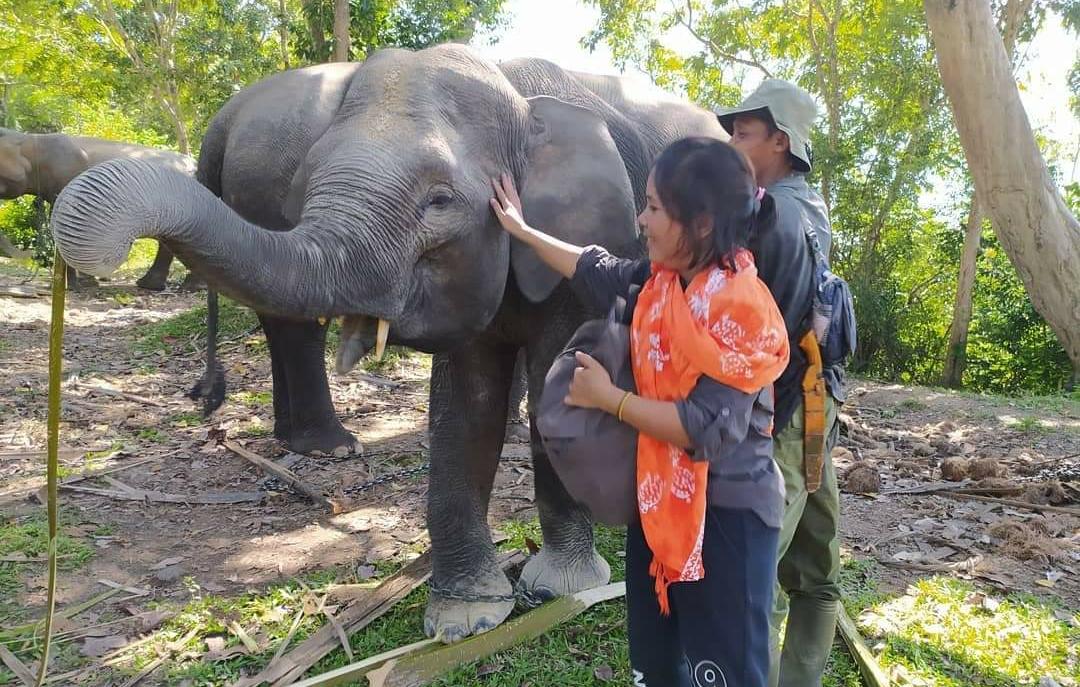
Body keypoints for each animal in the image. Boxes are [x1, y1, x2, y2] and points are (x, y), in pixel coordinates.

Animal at [48, 45, 725, 639]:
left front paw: (562, 588)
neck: (516, 94)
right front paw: (467, 617)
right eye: (306, 183)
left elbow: (558, 381)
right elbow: (466, 407)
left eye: (440, 200)